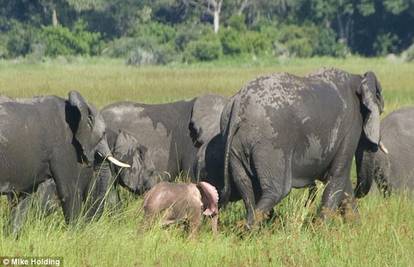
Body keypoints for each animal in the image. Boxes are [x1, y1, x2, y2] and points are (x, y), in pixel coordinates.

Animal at [0, 92, 129, 237]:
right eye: (103, 134)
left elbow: (23, 197)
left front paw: (13, 237)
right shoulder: (64, 148)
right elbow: (69, 192)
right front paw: (76, 236)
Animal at [220, 68, 384, 228]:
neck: (358, 78)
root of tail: (237, 105)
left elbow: (341, 183)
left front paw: (355, 229)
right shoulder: (350, 126)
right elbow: (337, 176)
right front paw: (320, 231)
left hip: (235, 144)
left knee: (246, 187)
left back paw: (250, 230)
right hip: (271, 143)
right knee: (277, 190)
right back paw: (253, 229)